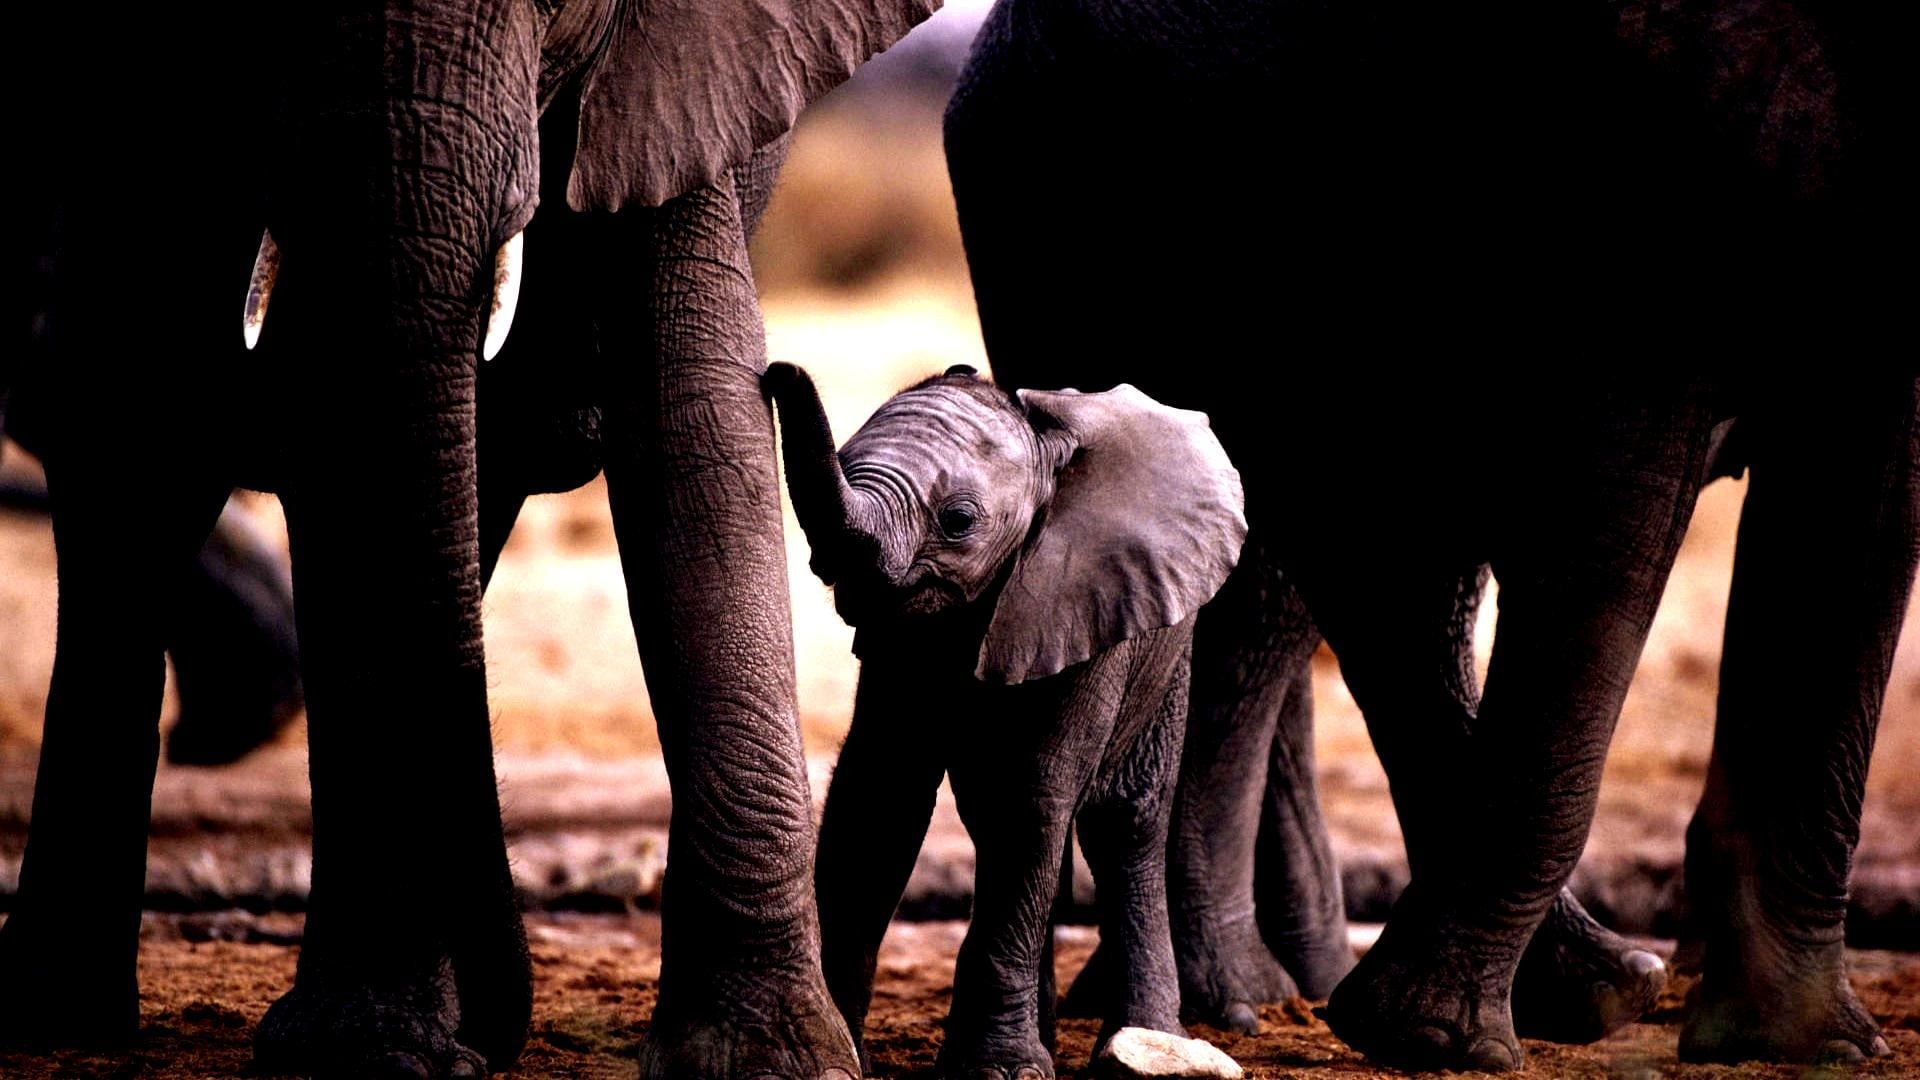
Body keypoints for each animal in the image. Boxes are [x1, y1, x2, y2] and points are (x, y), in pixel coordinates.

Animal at [2, 1, 939, 1076]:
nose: (499, 1033)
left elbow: (695, 408)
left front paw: (771, 1058)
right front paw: (366, 1050)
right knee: (132, 459)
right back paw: (62, 1015)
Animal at [763, 362, 1249, 1079]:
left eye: (959, 521)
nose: (777, 370)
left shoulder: (1084, 600)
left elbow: (1031, 797)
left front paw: (1000, 1071)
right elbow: (881, 792)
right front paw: (846, 1055)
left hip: (1166, 648)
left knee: (1120, 823)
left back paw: (1146, 1041)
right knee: (1000, 822)